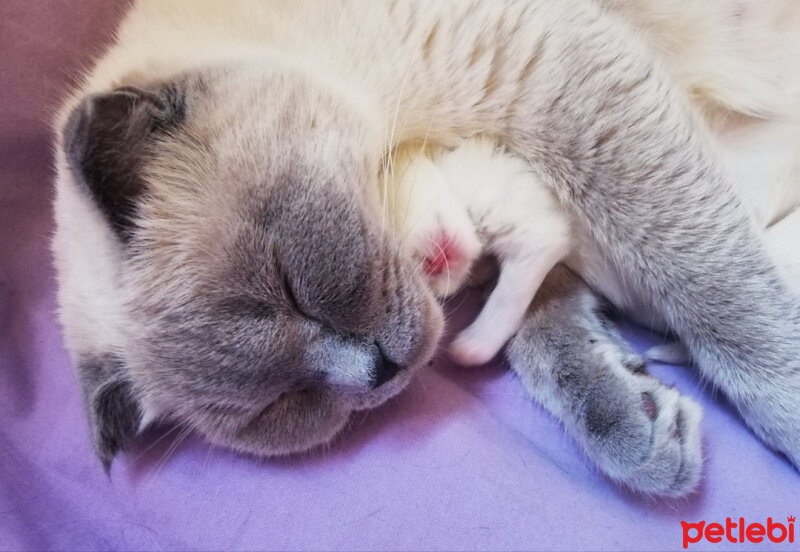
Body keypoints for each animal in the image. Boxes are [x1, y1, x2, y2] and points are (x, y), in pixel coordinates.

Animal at [53, 0, 796, 496]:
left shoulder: (563, 85)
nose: (376, 371)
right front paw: (637, 427)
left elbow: (713, 285)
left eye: (290, 287)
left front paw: (783, 412)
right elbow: (545, 336)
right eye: (279, 408)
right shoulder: (533, 212)